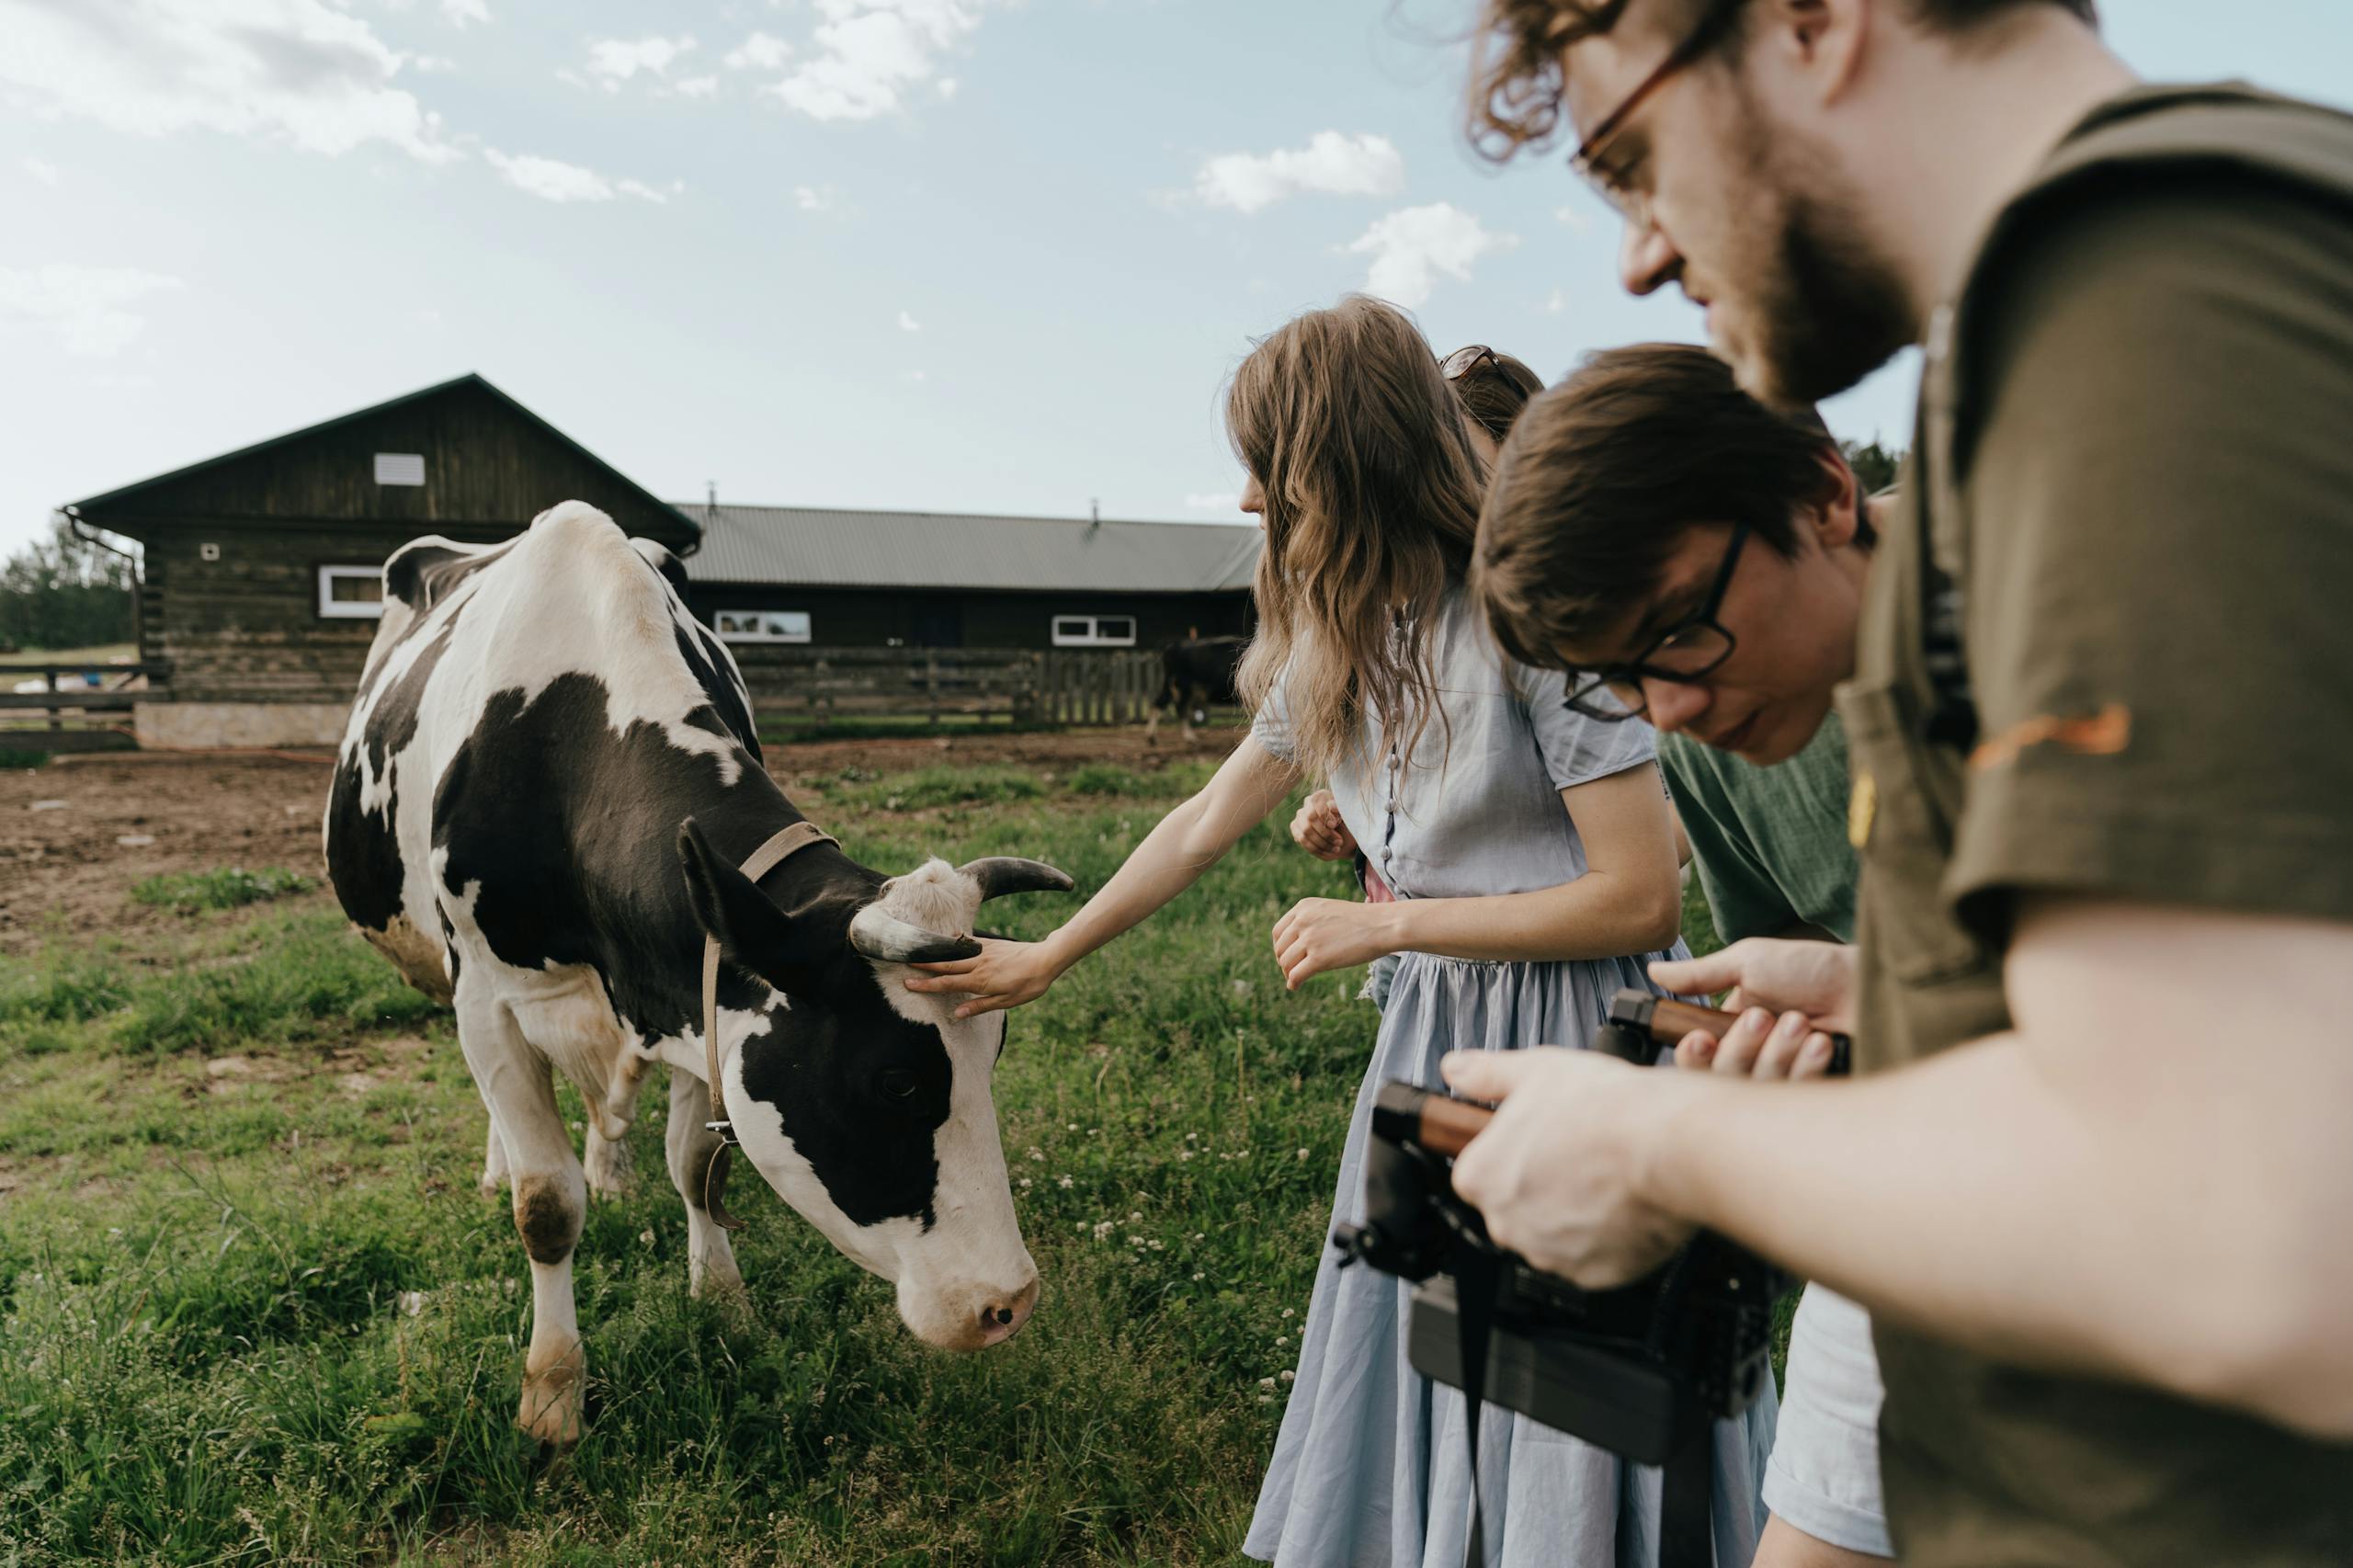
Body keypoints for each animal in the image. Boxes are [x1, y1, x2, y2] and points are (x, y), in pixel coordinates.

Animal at [323, 501, 1072, 1446]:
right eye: (896, 1082)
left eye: (993, 1055)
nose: (1009, 1302)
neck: (567, 732)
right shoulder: (488, 994)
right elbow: (546, 1206)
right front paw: (552, 1394)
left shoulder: (696, 991)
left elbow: (695, 1168)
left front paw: (722, 1304)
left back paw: (611, 1165)